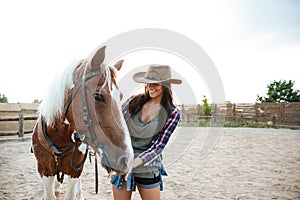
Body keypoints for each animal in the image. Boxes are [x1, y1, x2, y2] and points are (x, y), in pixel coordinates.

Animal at [31, 46, 134, 199]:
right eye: (98, 96)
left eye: (120, 96)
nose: (126, 158)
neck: (59, 138)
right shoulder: (45, 170)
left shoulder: (75, 170)